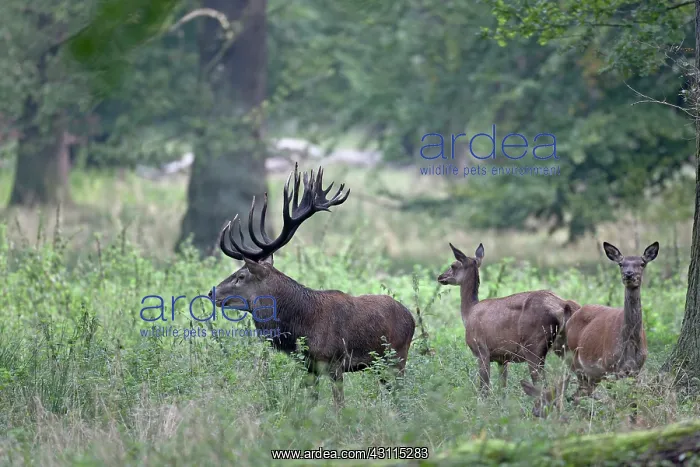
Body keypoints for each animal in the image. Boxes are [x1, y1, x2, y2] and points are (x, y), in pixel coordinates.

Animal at [210, 163, 416, 408]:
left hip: (398, 357)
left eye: (241, 276)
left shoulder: (335, 361)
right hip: (381, 366)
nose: (211, 292)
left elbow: (339, 405)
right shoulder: (309, 366)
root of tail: (412, 319)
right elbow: (311, 402)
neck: (302, 325)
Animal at [437, 242, 580, 394]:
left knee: (542, 385)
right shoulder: (502, 358)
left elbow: (484, 389)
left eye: (453, 265)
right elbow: (502, 390)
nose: (440, 277)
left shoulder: (481, 350)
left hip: (534, 346)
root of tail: (565, 305)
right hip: (563, 347)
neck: (469, 312)